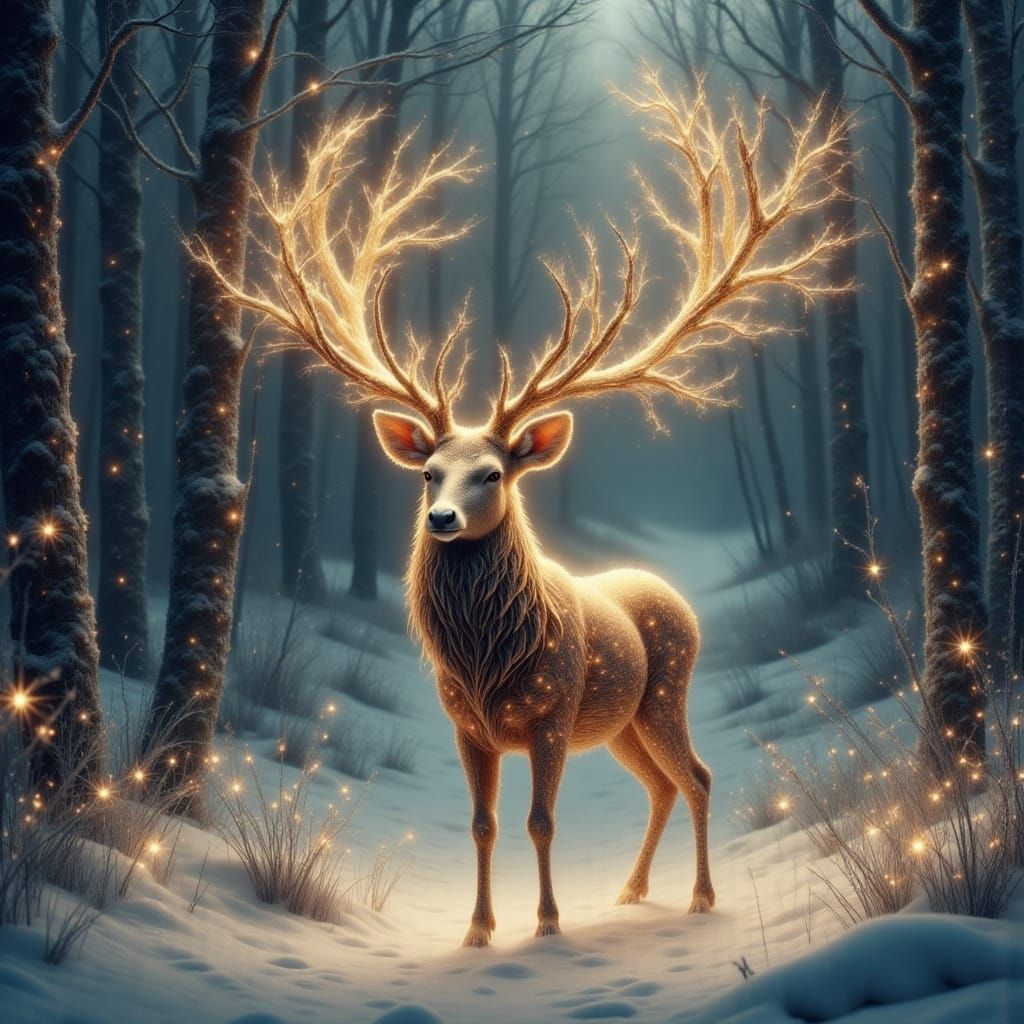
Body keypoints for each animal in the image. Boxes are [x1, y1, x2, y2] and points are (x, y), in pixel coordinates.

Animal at [198, 71, 850, 946]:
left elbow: (542, 821)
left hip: (662, 693)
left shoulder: (551, 710)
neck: (489, 661)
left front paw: (545, 923)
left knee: (701, 774)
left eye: (493, 474)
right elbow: (485, 824)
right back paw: (632, 890)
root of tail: (672, 591)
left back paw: (701, 896)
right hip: (622, 722)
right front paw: (478, 930)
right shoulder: (467, 725)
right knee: (662, 785)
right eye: (428, 473)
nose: (441, 521)